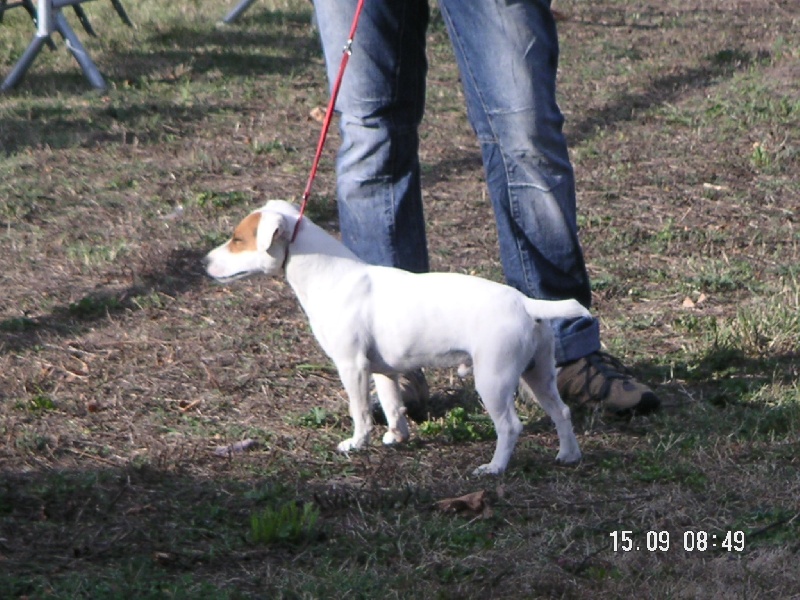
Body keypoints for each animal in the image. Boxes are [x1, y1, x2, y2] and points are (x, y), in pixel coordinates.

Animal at [203, 200, 584, 474]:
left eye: (237, 240)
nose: (204, 261)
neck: (330, 274)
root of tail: (525, 302)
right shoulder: (382, 371)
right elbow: (390, 405)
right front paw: (396, 436)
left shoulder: (351, 366)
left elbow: (359, 410)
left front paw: (357, 444)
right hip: (538, 375)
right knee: (562, 412)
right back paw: (568, 455)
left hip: (493, 379)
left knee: (510, 426)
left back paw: (494, 467)